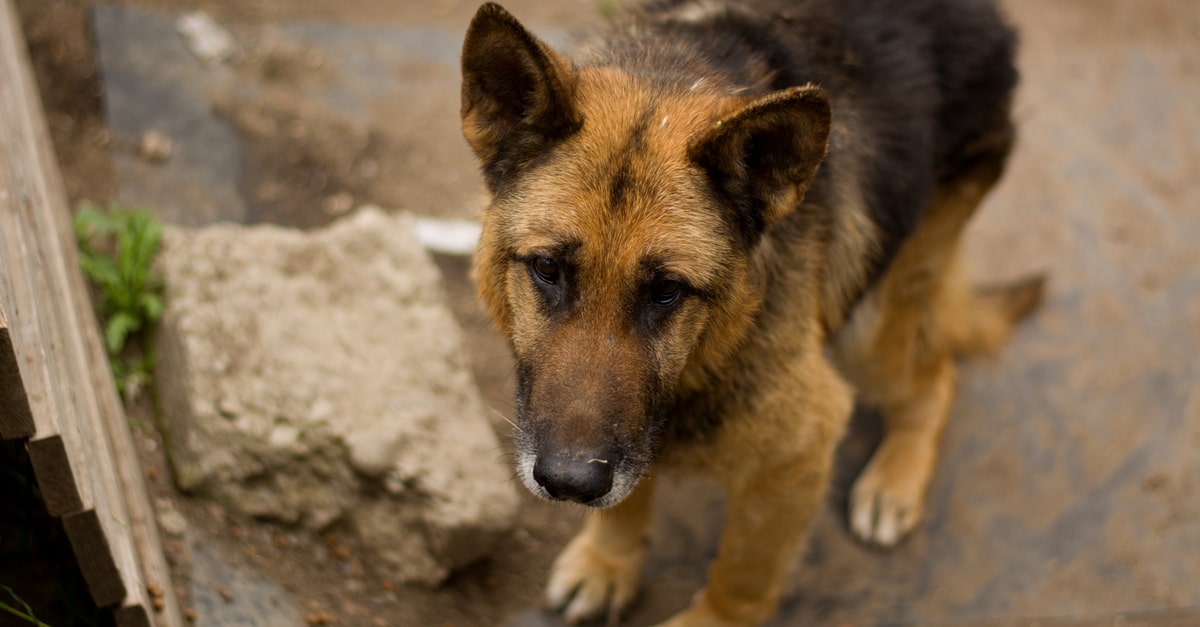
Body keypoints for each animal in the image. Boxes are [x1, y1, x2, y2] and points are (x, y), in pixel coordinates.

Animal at [458, 0, 1041, 619]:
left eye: (667, 290)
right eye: (547, 268)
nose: (568, 484)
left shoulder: (797, 452)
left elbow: (741, 576)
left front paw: (705, 615)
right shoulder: (630, 440)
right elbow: (625, 502)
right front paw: (607, 561)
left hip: (873, 321)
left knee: (936, 378)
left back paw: (894, 481)